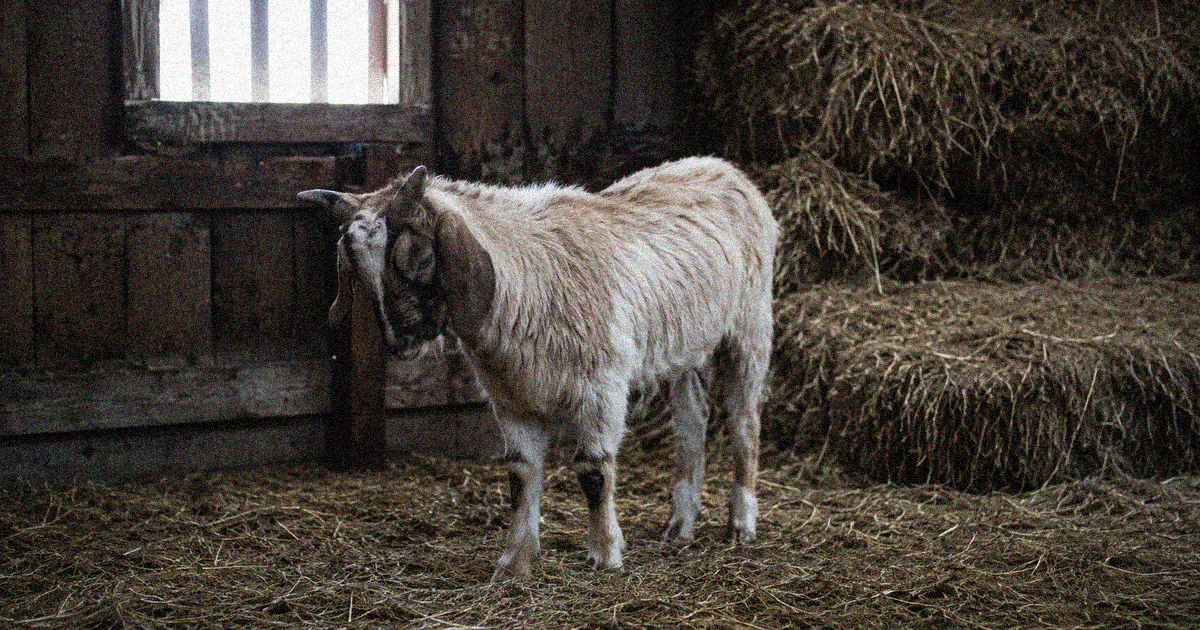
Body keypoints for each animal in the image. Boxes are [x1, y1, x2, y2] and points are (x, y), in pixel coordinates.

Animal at [299, 157, 778, 579]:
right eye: (357, 272)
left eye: (416, 257)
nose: (400, 341)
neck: (524, 279)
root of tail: (723, 168)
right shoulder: (512, 399)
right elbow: (520, 475)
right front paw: (514, 563)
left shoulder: (601, 388)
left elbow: (593, 472)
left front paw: (605, 554)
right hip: (688, 346)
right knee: (692, 424)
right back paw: (680, 525)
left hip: (749, 328)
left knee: (744, 424)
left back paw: (741, 525)